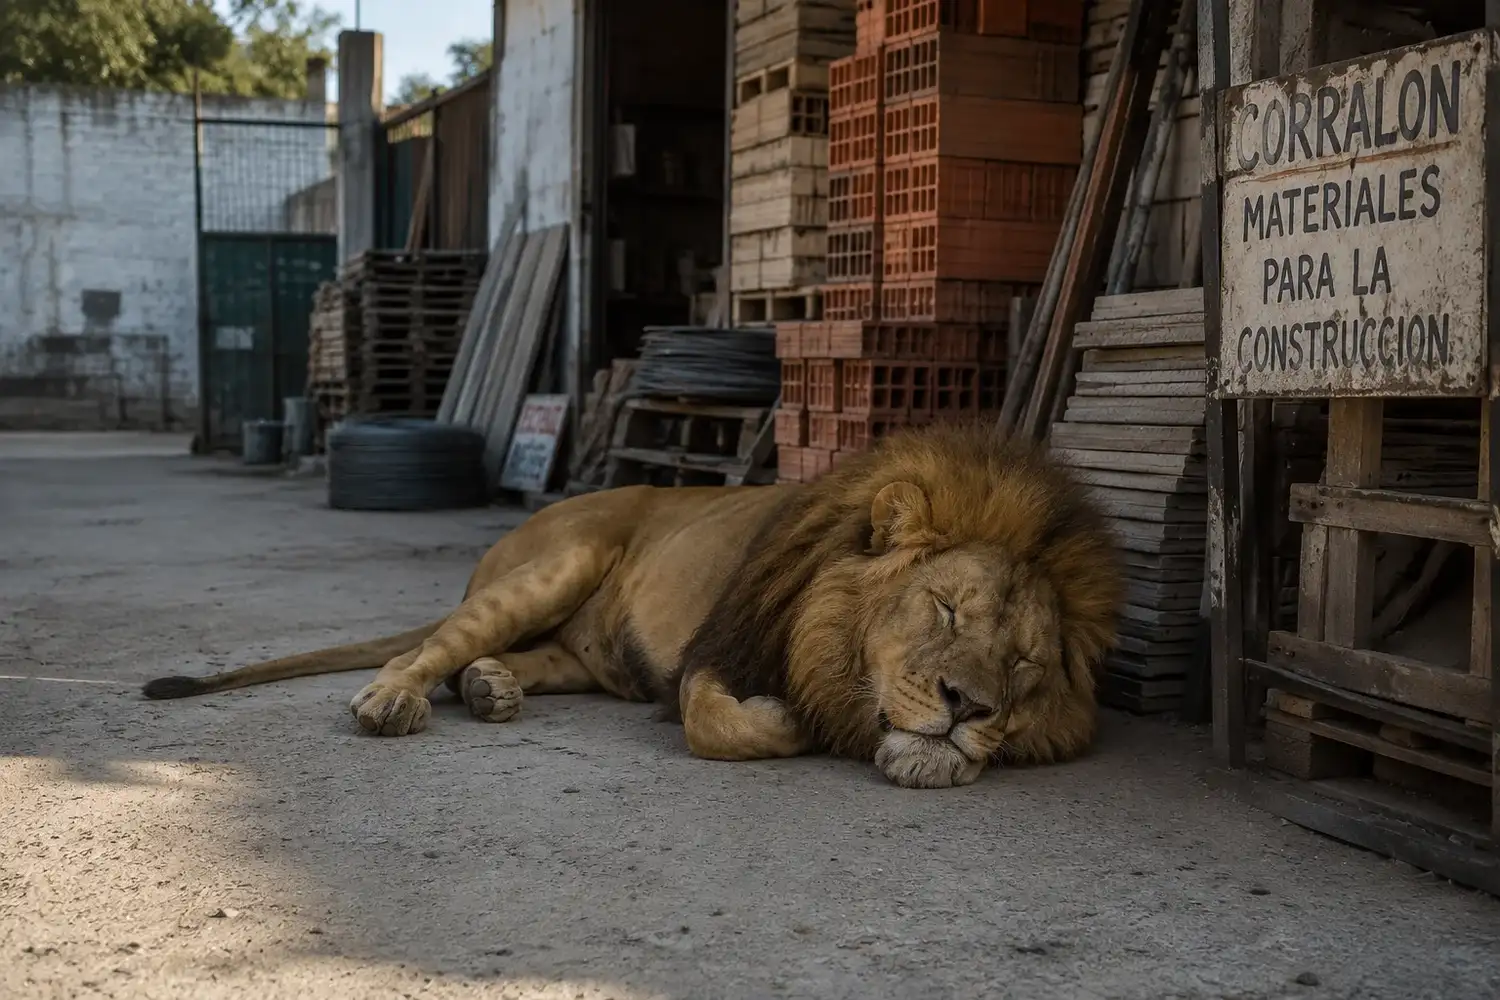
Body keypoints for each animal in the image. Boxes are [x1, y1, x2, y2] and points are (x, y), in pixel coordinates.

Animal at [144, 421, 1122, 788]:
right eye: (947, 610)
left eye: (1025, 662)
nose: (970, 707)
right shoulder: (712, 656)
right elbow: (717, 725)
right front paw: (790, 720)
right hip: (557, 565)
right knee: (422, 650)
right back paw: (393, 700)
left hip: (576, 650)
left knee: (504, 661)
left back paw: (490, 689)